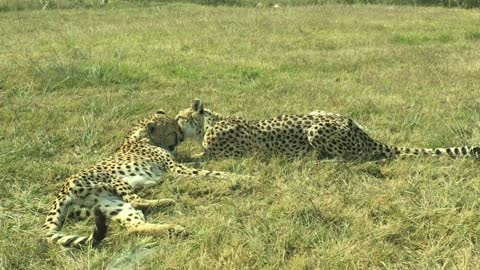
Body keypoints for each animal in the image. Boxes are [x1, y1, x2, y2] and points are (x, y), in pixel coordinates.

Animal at [42, 110, 233, 249]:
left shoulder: (176, 164)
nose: (181, 136)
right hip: (114, 179)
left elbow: (201, 163)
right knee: (136, 201)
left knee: (134, 226)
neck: (139, 137)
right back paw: (168, 201)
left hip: (110, 205)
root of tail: (61, 192)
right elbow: (207, 172)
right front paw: (236, 177)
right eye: (173, 129)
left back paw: (172, 228)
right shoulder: (174, 168)